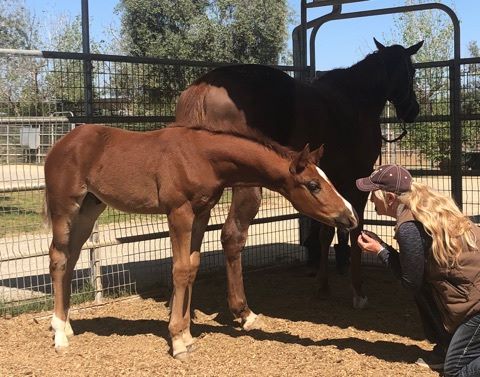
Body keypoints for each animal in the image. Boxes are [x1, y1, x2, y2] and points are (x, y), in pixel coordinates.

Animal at [175, 36, 420, 328]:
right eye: (412, 71)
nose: (413, 110)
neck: (355, 100)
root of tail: (204, 87)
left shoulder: (328, 183)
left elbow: (327, 233)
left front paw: (323, 287)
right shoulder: (355, 181)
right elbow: (355, 231)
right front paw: (358, 292)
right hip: (246, 186)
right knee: (232, 236)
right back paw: (243, 310)